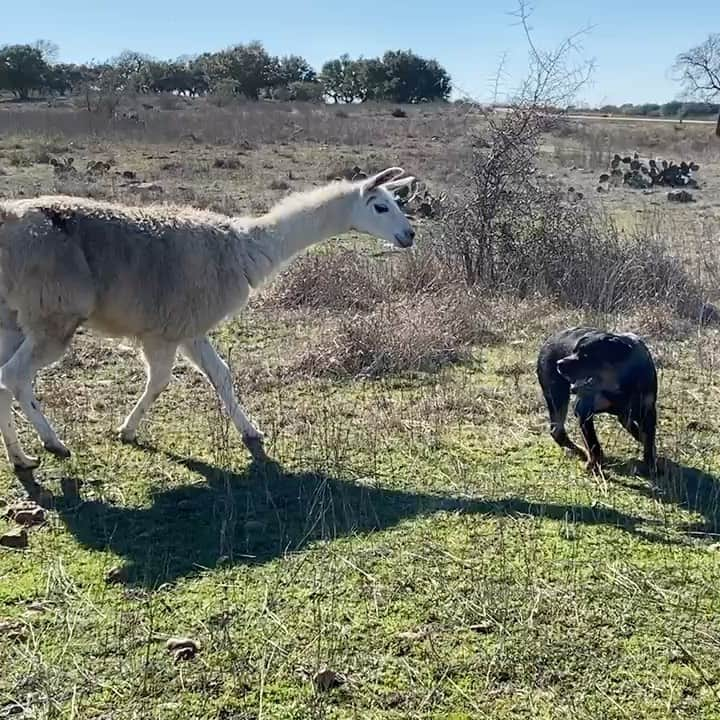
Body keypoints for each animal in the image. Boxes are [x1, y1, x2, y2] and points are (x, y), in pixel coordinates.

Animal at [536, 328, 660, 476]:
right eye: (574, 351)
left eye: (586, 355)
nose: (559, 363)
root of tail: (549, 340)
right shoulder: (583, 410)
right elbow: (593, 443)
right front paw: (594, 463)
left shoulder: (647, 412)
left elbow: (648, 439)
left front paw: (651, 464)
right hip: (557, 395)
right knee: (557, 431)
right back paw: (582, 452)